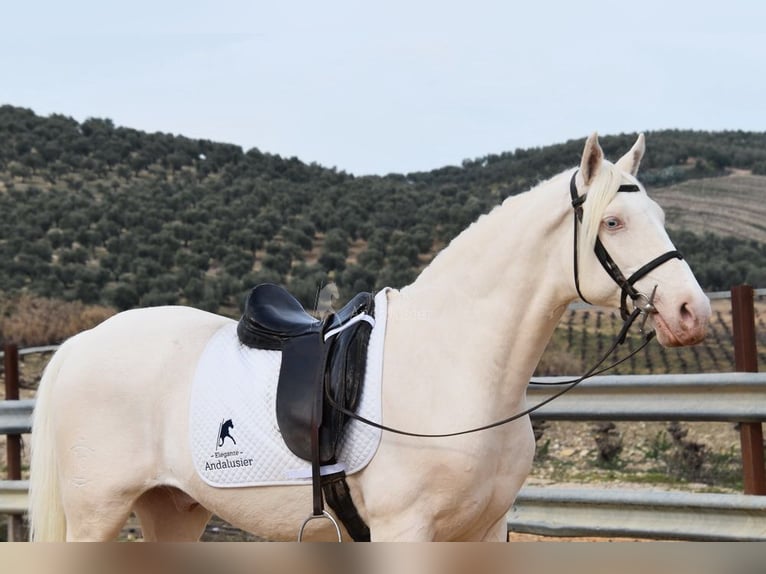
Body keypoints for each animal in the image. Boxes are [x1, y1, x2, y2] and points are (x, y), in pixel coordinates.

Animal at [30, 135, 712, 544]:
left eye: (660, 217)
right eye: (612, 221)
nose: (692, 311)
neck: (455, 364)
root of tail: (80, 345)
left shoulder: (485, 532)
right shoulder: (404, 532)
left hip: (172, 509)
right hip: (97, 515)